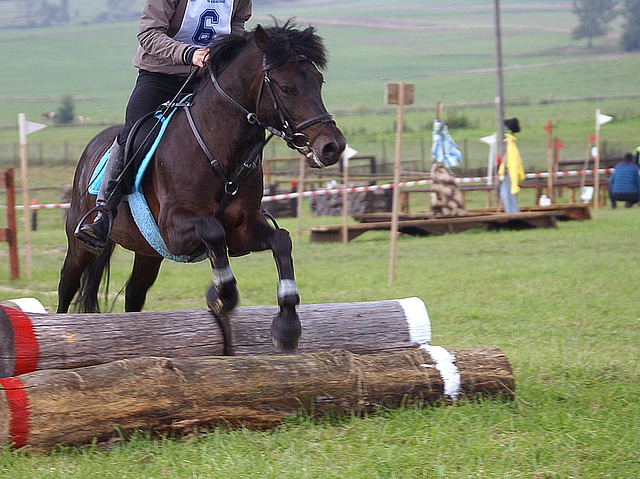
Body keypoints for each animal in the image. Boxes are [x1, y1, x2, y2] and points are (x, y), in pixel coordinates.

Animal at [55, 21, 344, 352]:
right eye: (286, 88)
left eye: (319, 81)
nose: (332, 147)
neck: (220, 146)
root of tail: (92, 147)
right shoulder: (175, 228)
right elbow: (213, 231)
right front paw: (221, 296)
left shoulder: (243, 230)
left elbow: (281, 240)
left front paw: (287, 325)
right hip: (81, 242)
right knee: (67, 286)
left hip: (149, 252)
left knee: (134, 294)